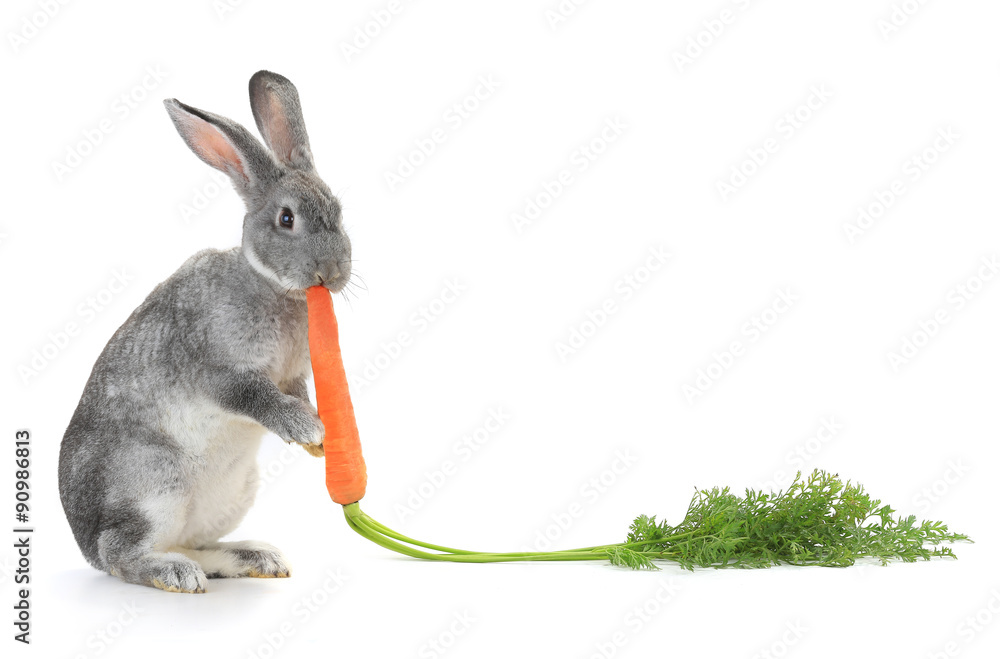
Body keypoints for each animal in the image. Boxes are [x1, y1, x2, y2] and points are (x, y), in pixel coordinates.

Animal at [58, 70, 351, 593]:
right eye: (287, 218)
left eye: (338, 209)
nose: (333, 273)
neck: (270, 286)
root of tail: (83, 541)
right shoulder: (220, 370)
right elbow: (258, 397)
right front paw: (309, 430)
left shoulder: (293, 376)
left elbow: (297, 394)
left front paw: (318, 441)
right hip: (154, 484)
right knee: (122, 555)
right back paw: (174, 575)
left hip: (228, 496)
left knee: (192, 543)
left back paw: (256, 559)